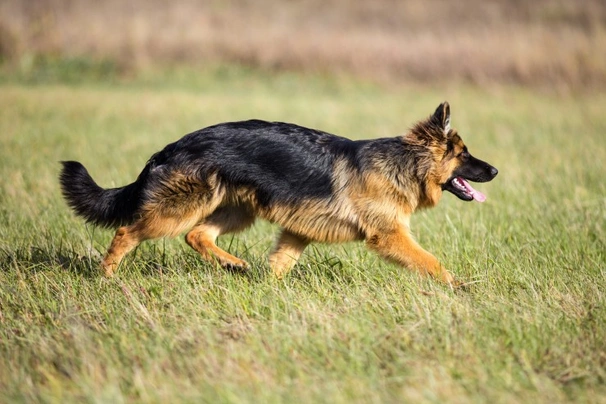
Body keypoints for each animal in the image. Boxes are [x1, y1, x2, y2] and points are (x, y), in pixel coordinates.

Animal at [60, 101, 498, 284]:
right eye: (464, 154)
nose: (494, 170)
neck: (405, 162)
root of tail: (173, 145)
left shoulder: (297, 229)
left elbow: (280, 264)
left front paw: (267, 290)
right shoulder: (390, 236)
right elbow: (432, 262)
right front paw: (459, 287)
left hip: (237, 210)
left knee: (197, 235)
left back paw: (233, 264)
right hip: (180, 208)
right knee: (127, 232)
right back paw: (107, 275)